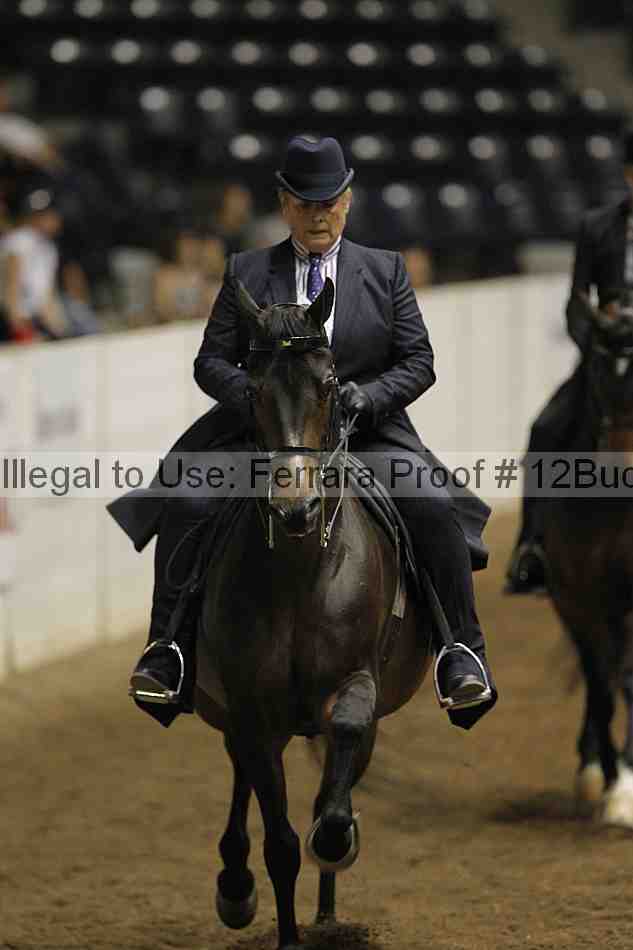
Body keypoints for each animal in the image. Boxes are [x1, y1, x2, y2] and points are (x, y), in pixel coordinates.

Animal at [192, 278, 432, 948]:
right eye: (251, 389)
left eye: (329, 385)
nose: (295, 508)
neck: (301, 569)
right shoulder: (250, 707)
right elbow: (279, 843)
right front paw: (283, 928)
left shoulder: (358, 683)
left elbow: (343, 745)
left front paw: (337, 836)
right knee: (242, 774)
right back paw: (236, 885)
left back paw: (328, 898)